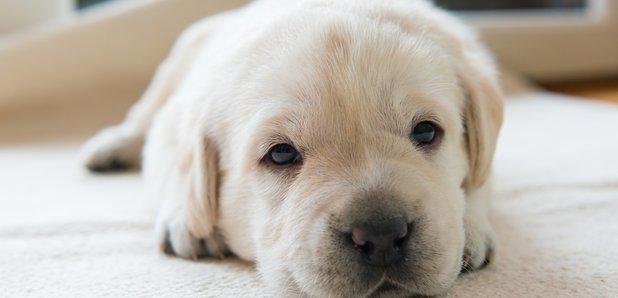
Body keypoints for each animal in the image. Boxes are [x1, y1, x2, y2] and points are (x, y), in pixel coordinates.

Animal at [80, 0, 500, 296]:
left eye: (426, 133)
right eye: (281, 154)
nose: (382, 234)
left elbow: (479, 177)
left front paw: (470, 227)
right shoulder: (175, 118)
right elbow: (173, 162)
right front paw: (186, 218)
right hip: (174, 63)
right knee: (141, 117)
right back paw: (109, 146)